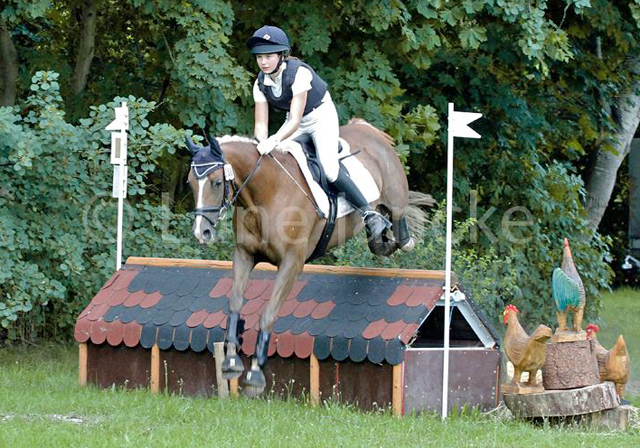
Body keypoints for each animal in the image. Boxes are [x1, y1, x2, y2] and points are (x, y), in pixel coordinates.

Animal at [185, 119, 424, 396]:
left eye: (215, 182)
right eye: (190, 183)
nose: (201, 233)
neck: (265, 193)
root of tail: (370, 131)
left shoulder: (292, 263)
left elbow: (268, 313)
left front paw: (255, 376)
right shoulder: (244, 255)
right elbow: (234, 302)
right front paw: (231, 362)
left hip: (395, 201)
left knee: (400, 230)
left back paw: (393, 233)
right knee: (380, 243)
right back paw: (380, 232)